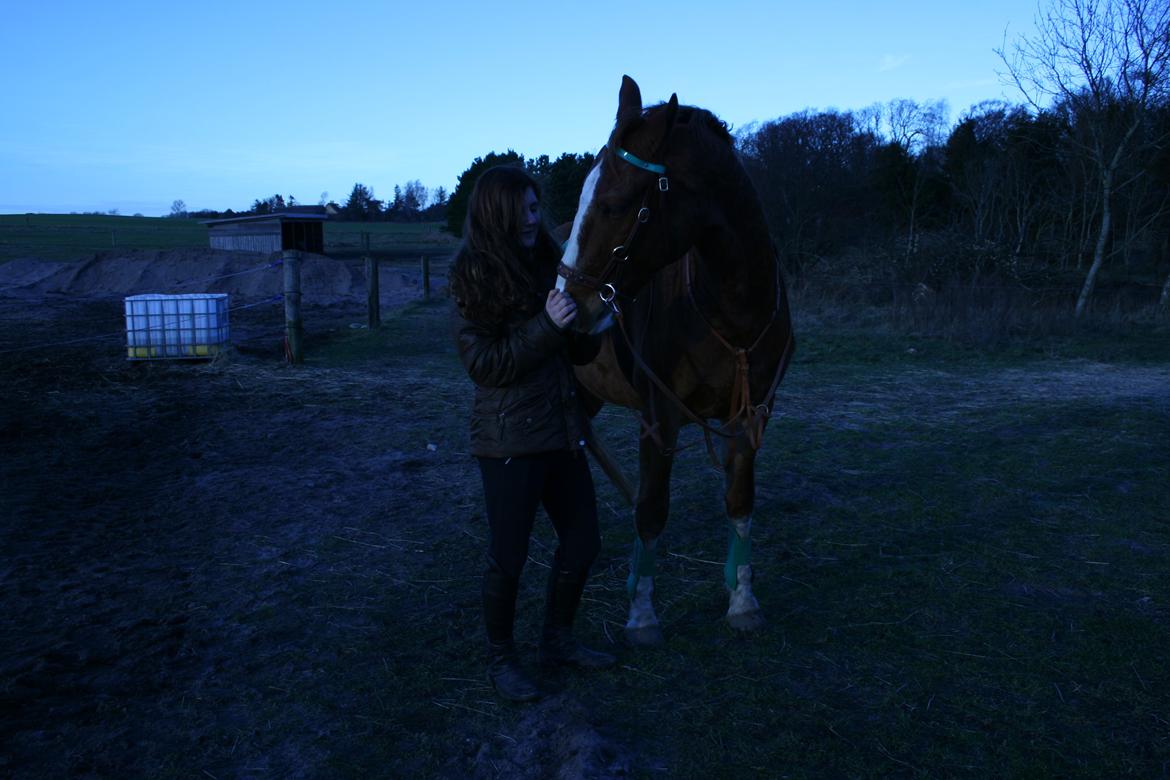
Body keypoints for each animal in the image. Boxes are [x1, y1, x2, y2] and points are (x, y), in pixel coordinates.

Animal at [554, 74, 795, 645]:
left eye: (616, 204)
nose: (569, 304)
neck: (731, 310)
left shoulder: (752, 415)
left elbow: (739, 501)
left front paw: (742, 599)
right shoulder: (658, 418)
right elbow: (651, 511)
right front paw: (642, 613)